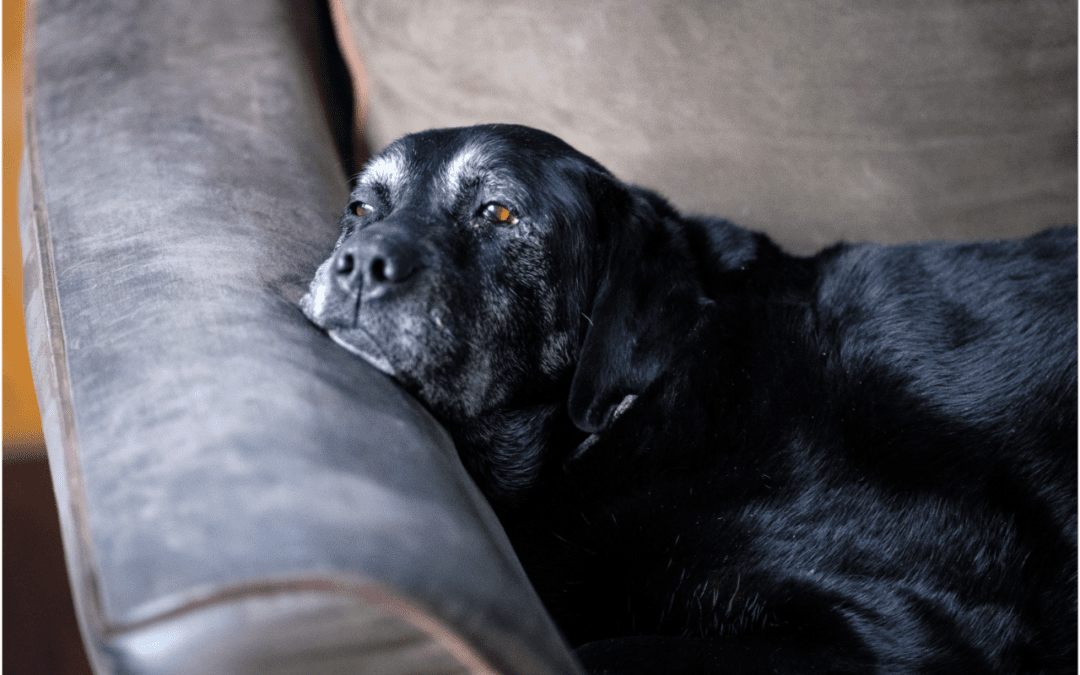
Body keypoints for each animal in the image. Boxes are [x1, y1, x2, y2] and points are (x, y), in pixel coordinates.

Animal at [300, 123, 1075, 669]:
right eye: (361, 207)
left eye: (499, 213)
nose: (359, 263)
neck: (633, 411)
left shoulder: (900, 625)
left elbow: (604, 654)